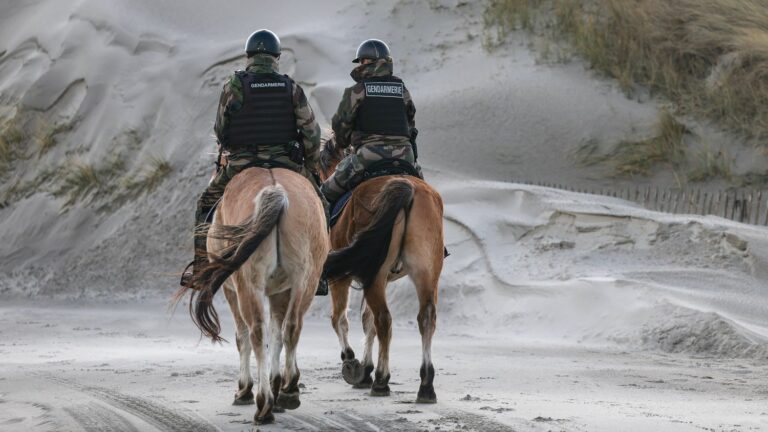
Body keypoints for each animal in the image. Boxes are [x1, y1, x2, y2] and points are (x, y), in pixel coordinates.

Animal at [176, 166, 328, 426]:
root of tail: (276, 192)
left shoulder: (231, 291)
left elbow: (243, 337)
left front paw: (245, 389)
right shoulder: (281, 291)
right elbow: (277, 336)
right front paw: (279, 384)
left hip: (248, 286)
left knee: (256, 332)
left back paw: (263, 403)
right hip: (305, 281)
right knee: (291, 327)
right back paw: (288, 391)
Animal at [320, 137, 448, 404]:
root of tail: (405, 187)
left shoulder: (345, 279)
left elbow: (340, 319)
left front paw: (353, 364)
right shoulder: (377, 277)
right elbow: (366, 320)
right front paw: (366, 369)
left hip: (375, 277)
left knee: (383, 320)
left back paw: (381, 380)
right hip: (425, 273)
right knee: (425, 318)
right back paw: (425, 384)